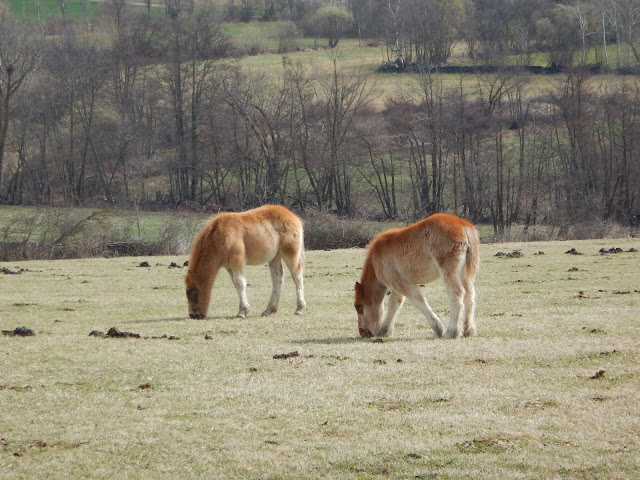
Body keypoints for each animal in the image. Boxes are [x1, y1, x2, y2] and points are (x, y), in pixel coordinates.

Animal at [356, 212, 480, 340]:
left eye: (358, 307)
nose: (362, 333)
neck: (377, 257)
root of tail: (462, 224)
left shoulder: (402, 284)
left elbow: (419, 301)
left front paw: (438, 329)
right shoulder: (397, 285)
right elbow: (394, 304)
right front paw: (384, 331)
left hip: (449, 271)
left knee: (457, 294)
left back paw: (451, 332)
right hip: (465, 273)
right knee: (469, 294)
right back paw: (468, 330)